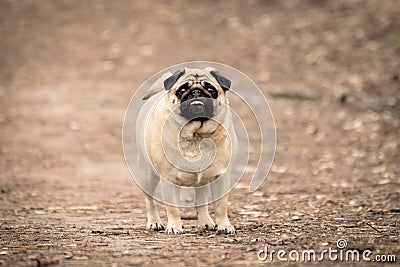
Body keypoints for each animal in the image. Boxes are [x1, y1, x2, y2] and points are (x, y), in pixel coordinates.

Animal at [138, 67, 238, 234]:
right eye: (182, 90)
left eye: (211, 89)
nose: (196, 92)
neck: (196, 135)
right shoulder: (169, 180)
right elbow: (173, 208)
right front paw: (174, 227)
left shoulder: (221, 178)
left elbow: (221, 206)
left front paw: (224, 225)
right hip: (147, 176)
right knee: (150, 201)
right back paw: (154, 222)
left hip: (202, 182)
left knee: (201, 202)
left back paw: (206, 222)